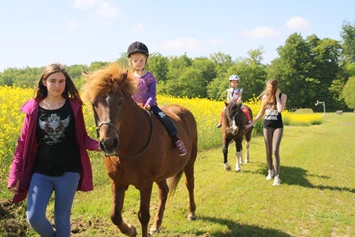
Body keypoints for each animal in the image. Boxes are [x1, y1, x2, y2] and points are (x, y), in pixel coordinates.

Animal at [82, 62, 199, 237]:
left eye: (120, 101)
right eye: (94, 103)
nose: (109, 143)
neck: (128, 149)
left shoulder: (145, 183)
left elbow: (143, 216)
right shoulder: (117, 182)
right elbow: (115, 216)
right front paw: (130, 230)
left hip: (190, 162)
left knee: (189, 184)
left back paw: (191, 213)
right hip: (161, 174)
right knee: (164, 191)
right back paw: (156, 224)